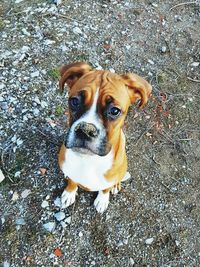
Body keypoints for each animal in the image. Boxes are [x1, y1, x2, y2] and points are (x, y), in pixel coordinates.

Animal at [57, 62, 152, 214]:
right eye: (75, 101)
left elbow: (105, 188)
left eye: (114, 111)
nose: (86, 130)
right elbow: (72, 180)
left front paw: (102, 199)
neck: (88, 160)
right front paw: (69, 192)